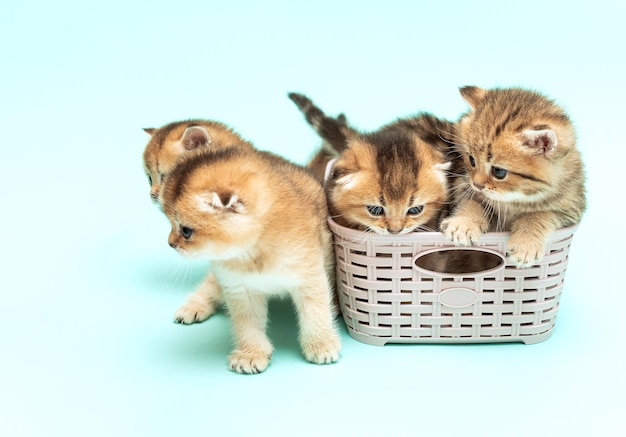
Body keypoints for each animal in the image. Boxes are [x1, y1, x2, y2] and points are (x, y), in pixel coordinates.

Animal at [158, 145, 338, 372]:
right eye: (170, 224)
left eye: (186, 231)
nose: (170, 243)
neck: (252, 251)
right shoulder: (239, 290)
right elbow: (247, 326)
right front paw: (251, 354)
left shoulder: (309, 278)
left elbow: (316, 313)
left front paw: (321, 345)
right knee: (210, 285)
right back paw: (193, 307)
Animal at [438, 86, 584, 266]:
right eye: (471, 160)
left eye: (499, 171)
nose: (477, 184)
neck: (514, 197)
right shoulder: (463, 184)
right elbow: (472, 202)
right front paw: (464, 224)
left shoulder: (571, 209)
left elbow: (542, 214)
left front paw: (526, 243)